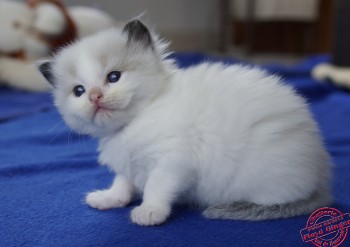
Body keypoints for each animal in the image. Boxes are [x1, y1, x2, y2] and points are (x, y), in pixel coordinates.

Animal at [37, 19, 332, 226]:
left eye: (113, 77)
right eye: (78, 91)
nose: (95, 97)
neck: (132, 123)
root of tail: (321, 175)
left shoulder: (172, 162)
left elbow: (155, 186)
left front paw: (149, 212)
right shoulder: (129, 163)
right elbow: (123, 183)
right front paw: (110, 198)